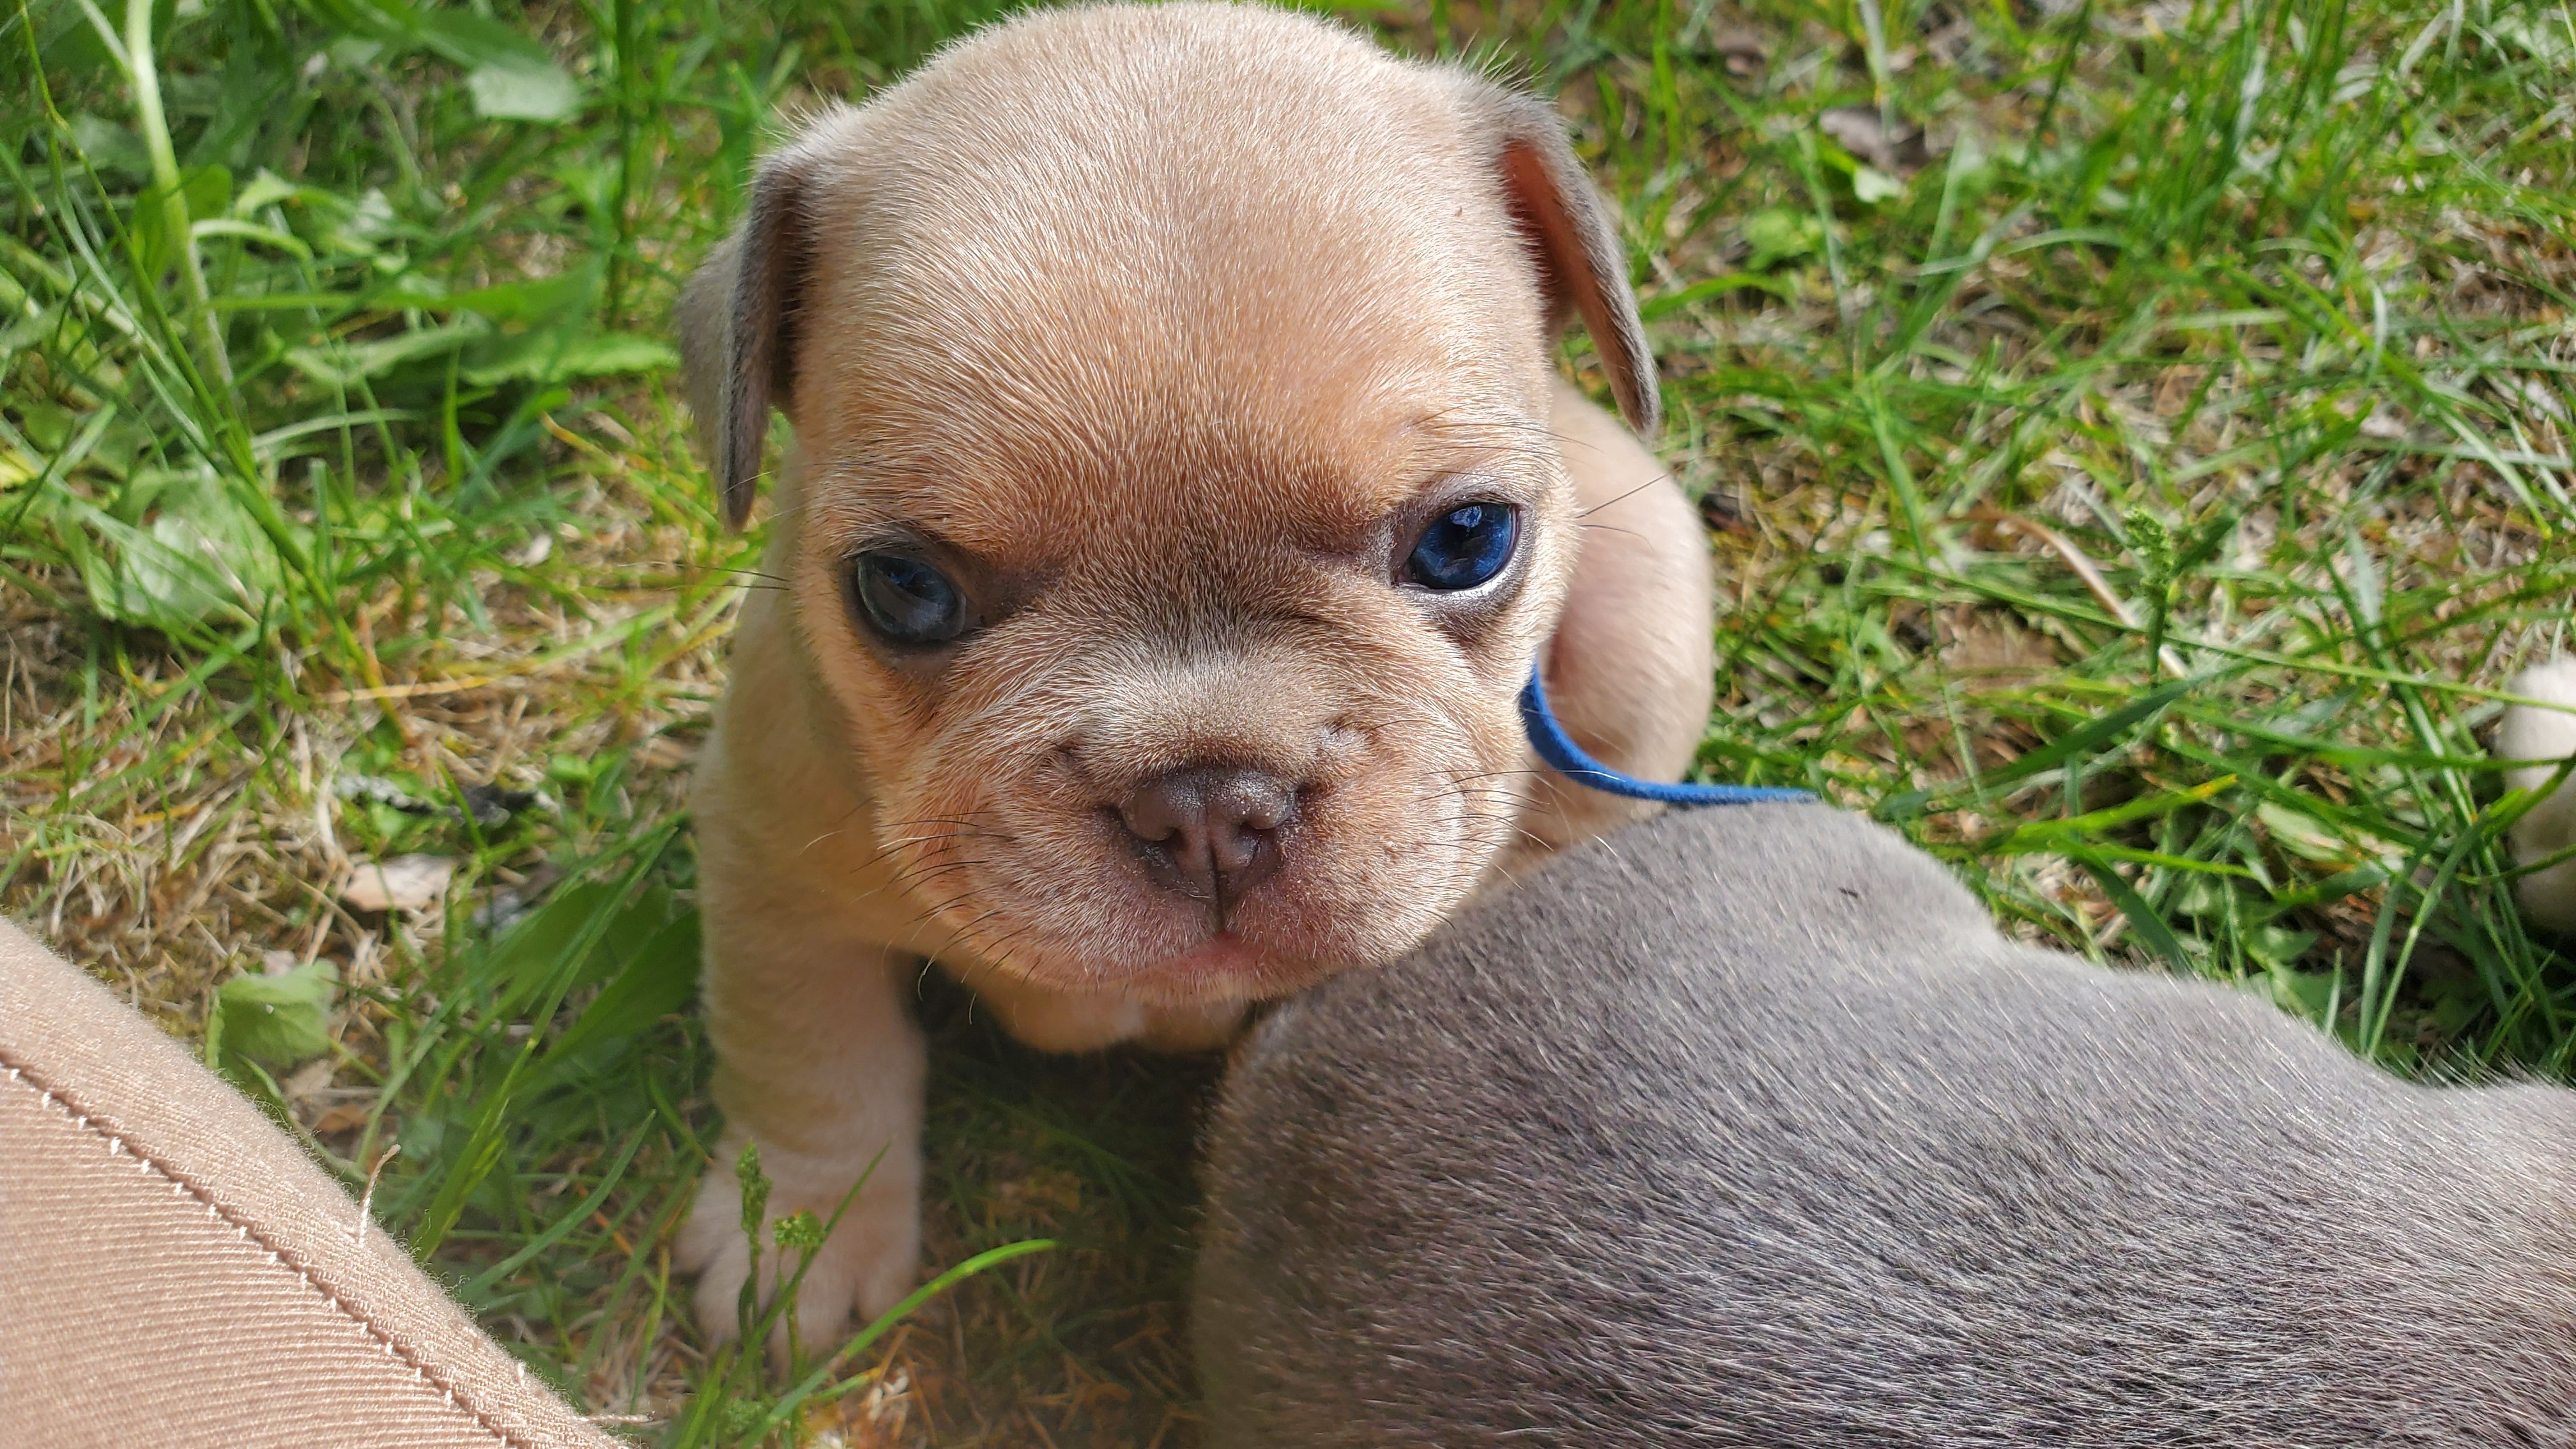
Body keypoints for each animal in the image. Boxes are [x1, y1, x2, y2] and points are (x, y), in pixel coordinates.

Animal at [670, 5, 1710, 1351]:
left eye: (1467, 538)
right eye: (902, 589)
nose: (1211, 803)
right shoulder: (771, 871)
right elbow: (807, 1054)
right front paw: (798, 1232)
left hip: (1646, 600)